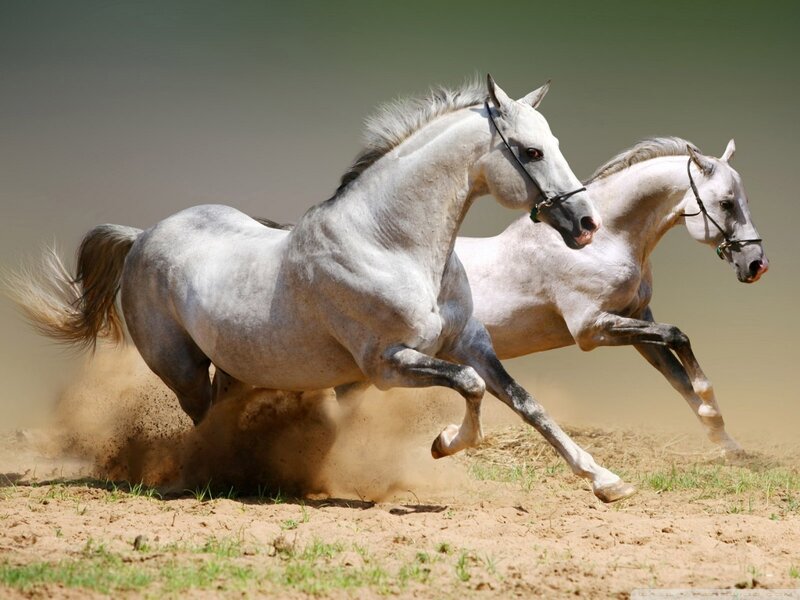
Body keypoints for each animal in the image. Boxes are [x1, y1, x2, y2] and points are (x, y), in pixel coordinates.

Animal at [7, 76, 639, 502]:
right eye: (531, 151)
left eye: (552, 142)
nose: (586, 224)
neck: (391, 244)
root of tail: (142, 236)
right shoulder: (387, 364)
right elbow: (471, 388)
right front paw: (443, 443)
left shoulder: (470, 343)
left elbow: (525, 403)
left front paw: (606, 481)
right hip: (180, 367)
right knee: (202, 420)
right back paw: (211, 476)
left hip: (236, 365)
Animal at [457, 137, 768, 456]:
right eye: (726, 203)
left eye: (745, 201)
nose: (757, 264)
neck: (602, 243)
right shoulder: (591, 329)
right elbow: (677, 335)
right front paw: (710, 407)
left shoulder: (637, 319)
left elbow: (678, 377)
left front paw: (727, 443)